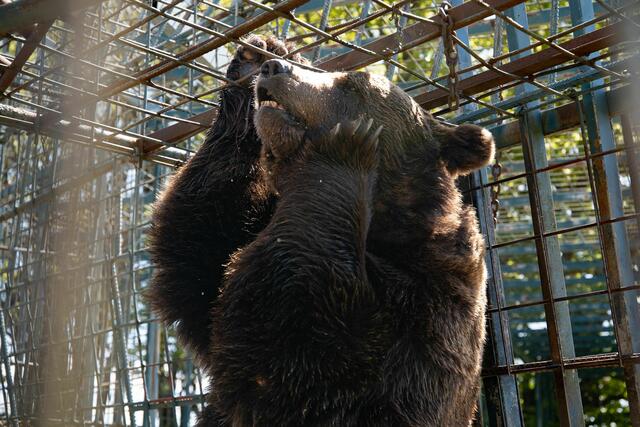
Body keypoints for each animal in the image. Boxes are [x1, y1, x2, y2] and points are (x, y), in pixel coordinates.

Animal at [148, 36, 495, 426]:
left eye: (353, 84)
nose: (273, 69)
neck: (387, 225)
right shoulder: (225, 262)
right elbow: (199, 255)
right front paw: (257, 54)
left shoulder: (431, 308)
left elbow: (312, 348)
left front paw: (344, 146)